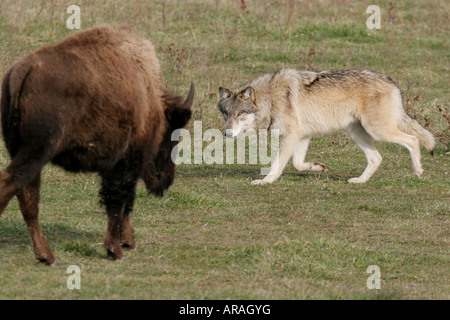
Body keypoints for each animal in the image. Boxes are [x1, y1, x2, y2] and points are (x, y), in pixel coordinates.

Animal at [0, 25, 193, 264]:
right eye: (170, 136)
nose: (164, 181)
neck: (149, 96)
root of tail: (22, 72)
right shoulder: (127, 162)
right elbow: (119, 201)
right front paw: (116, 250)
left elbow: (122, 201)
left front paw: (126, 241)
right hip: (36, 153)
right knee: (12, 186)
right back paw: (48, 256)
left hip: (24, 154)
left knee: (28, 198)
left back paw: (47, 256)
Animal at [218, 69, 436, 186]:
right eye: (226, 113)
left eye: (240, 113)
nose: (227, 133)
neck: (271, 98)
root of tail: (392, 83)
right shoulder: (302, 136)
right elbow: (298, 163)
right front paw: (317, 167)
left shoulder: (292, 135)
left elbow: (277, 164)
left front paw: (265, 181)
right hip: (357, 133)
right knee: (377, 158)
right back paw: (360, 181)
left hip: (377, 131)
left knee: (413, 140)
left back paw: (418, 171)